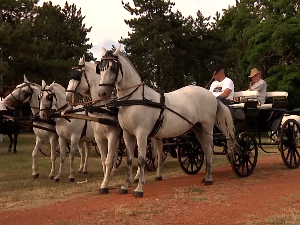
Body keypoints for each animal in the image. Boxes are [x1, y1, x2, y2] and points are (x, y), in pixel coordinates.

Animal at [97, 45, 236, 197]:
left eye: (113, 68)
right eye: (100, 68)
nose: (102, 93)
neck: (134, 99)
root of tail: (212, 96)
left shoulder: (142, 134)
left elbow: (141, 160)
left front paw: (139, 188)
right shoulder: (128, 135)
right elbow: (129, 160)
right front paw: (124, 186)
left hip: (207, 127)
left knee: (209, 149)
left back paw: (209, 178)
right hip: (197, 128)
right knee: (204, 149)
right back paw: (206, 176)